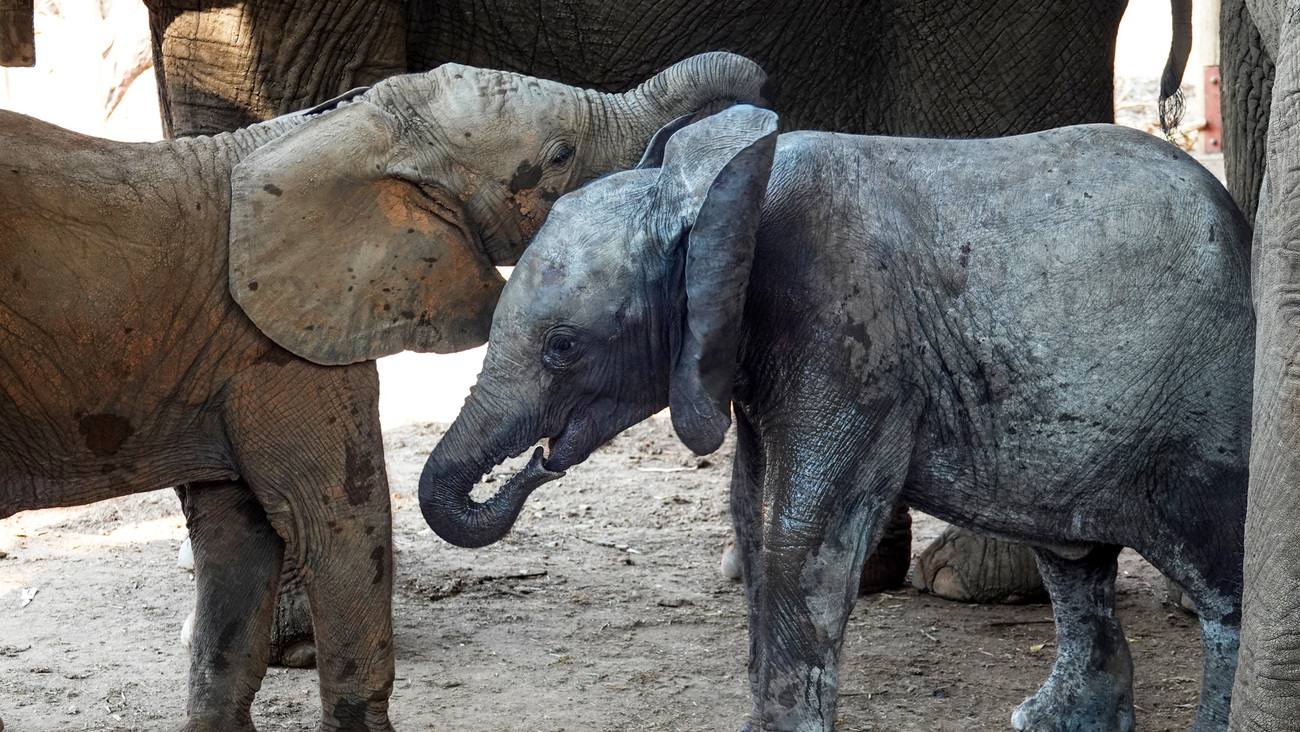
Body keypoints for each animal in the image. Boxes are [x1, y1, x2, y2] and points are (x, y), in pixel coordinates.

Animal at [0, 52, 764, 732]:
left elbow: (237, 542)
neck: (339, 130)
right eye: (561, 153)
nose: (758, 106)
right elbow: (338, 525)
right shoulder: (281, 346)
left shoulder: (234, 359)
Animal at [416, 104, 1248, 732]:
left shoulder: (846, 335)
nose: (536, 463)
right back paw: (1052, 723)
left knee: (1219, 577)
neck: (712, 195)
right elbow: (750, 511)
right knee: (1073, 564)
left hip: (1205, 399)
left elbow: (801, 531)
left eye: (562, 347)